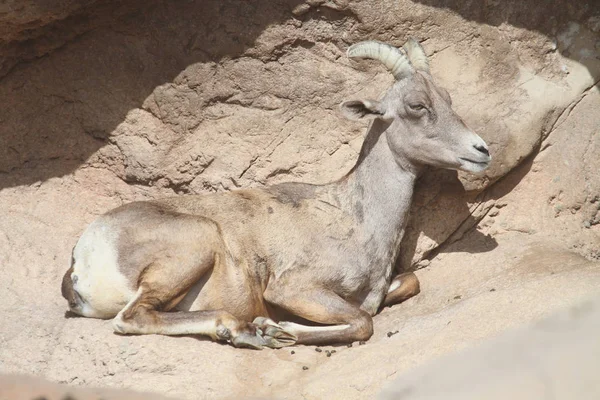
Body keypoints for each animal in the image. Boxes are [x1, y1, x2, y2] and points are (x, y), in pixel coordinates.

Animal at [61, 39, 492, 348]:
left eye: (448, 99)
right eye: (417, 105)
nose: (481, 151)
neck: (353, 218)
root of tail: (85, 256)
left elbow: (405, 286)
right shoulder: (294, 289)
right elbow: (362, 321)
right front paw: (277, 328)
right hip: (196, 242)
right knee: (135, 318)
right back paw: (243, 331)